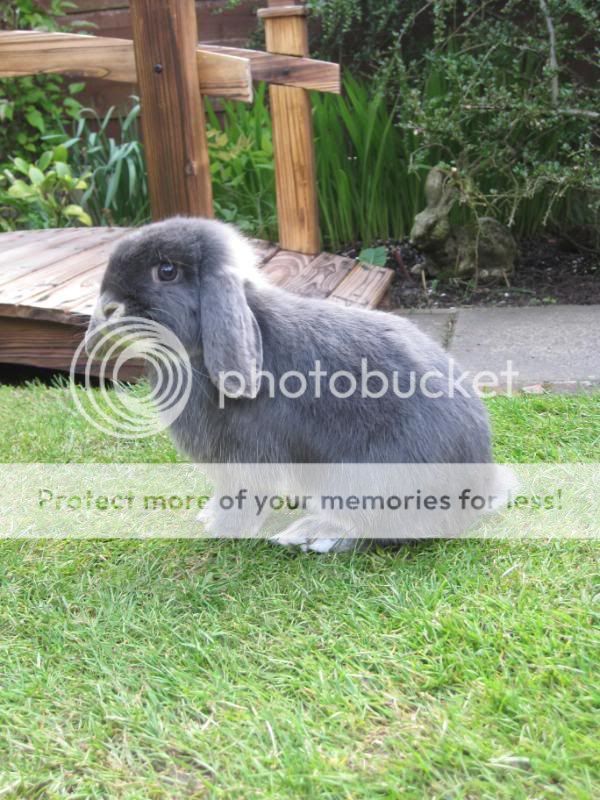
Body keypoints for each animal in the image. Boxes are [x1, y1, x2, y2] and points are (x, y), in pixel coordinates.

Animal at [86, 219, 510, 556]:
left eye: (166, 270)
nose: (107, 309)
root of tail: (479, 488)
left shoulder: (248, 457)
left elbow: (244, 496)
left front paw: (223, 529)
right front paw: (209, 516)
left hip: (369, 479)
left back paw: (311, 534)